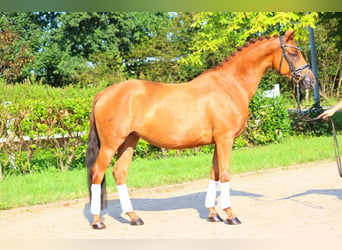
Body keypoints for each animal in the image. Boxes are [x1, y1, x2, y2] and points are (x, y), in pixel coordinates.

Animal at [85, 29, 316, 229]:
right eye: (293, 53)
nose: (310, 81)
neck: (230, 85)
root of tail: (103, 93)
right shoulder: (225, 139)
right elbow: (225, 174)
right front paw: (230, 214)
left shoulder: (217, 142)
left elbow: (214, 174)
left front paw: (213, 214)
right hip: (110, 144)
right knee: (97, 173)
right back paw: (97, 221)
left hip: (129, 141)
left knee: (119, 173)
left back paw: (134, 217)